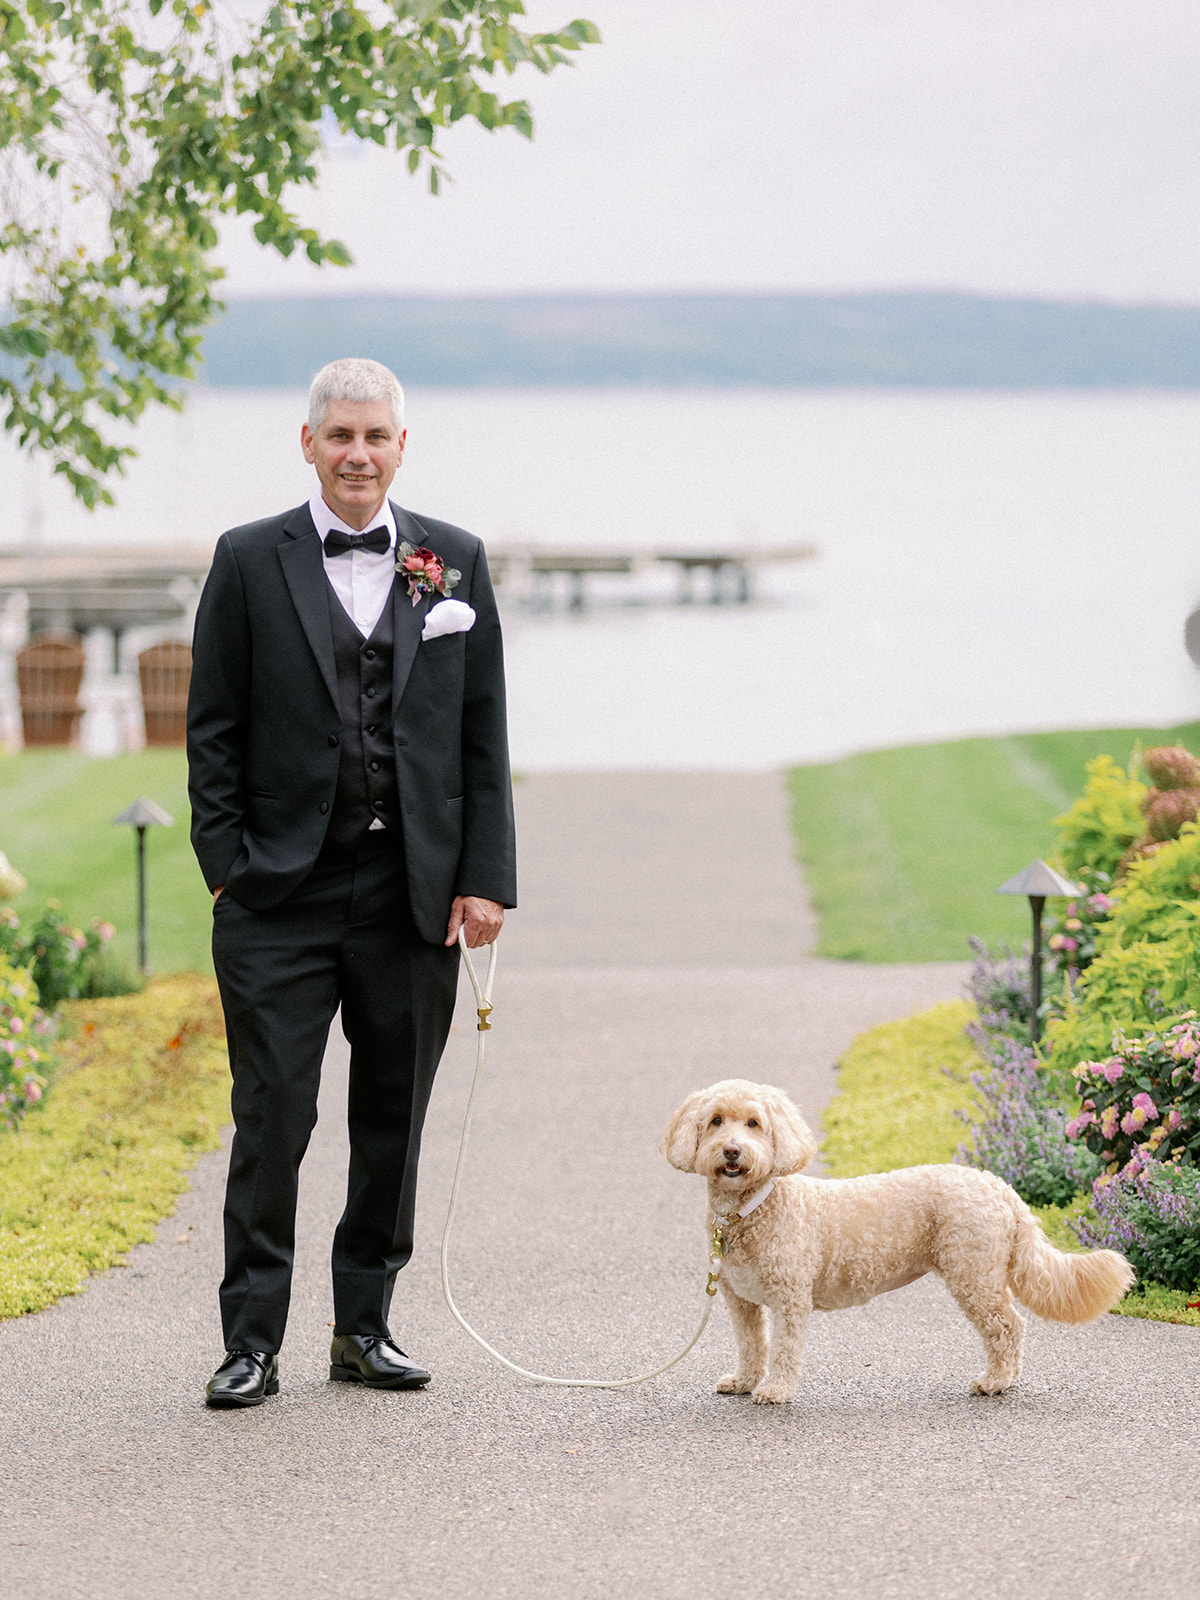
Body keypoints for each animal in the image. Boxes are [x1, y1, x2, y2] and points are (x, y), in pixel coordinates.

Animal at [662, 1081, 1132, 1408]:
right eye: (716, 1121)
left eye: (754, 1123)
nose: (732, 1151)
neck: (749, 1210)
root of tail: (1000, 1187)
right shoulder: (740, 1299)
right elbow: (750, 1344)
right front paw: (744, 1382)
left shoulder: (790, 1298)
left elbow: (784, 1348)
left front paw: (775, 1390)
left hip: (973, 1273)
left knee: (1007, 1326)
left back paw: (996, 1381)